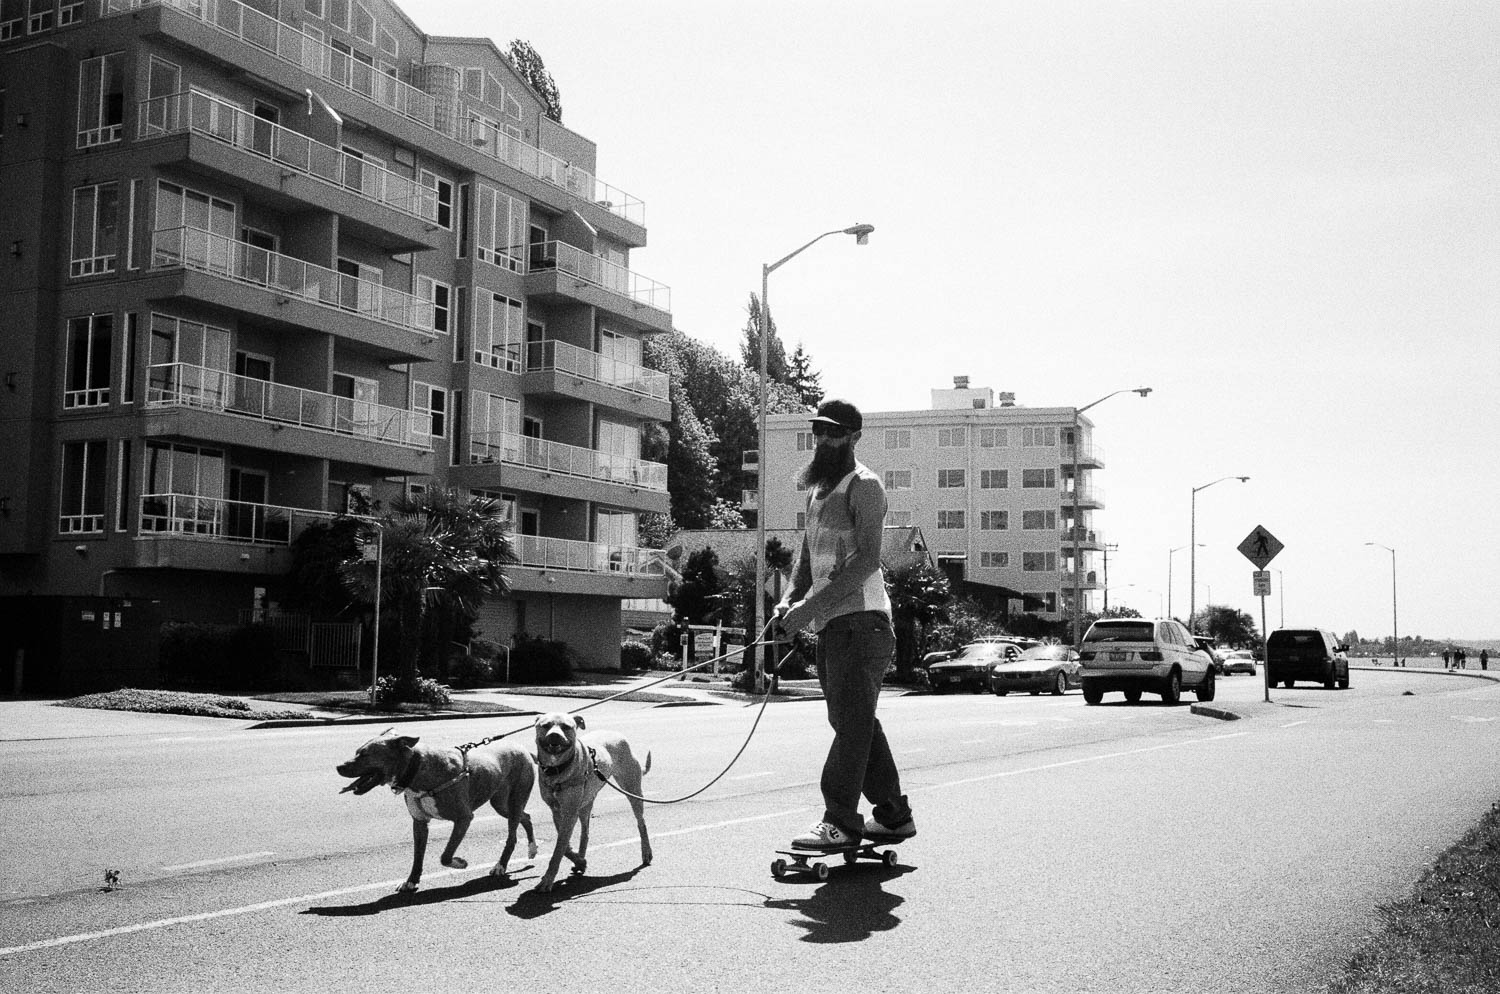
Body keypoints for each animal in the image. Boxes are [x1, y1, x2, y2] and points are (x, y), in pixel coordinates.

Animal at [337, 731, 537, 893]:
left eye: (365, 754)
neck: (416, 769)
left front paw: (459, 863)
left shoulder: (464, 818)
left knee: (512, 835)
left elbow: (445, 856)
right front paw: (411, 882)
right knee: (526, 817)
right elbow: (418, 857)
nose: (339, 767)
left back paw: (500, 866)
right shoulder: (419, 823)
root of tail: (524, 750)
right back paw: (532, 848)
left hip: (515, 800)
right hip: (501, 803)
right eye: (357, 752)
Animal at [534, 716, 651, 893]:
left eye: (566, 726)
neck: (558, 769)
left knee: (641, 822)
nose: (554, 735)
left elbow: (559, 849)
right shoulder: (557, 811)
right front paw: (579, 860)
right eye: (545, 725)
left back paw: (646, 852)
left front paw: (548, 880)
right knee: (586, 832)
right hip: (586, 804)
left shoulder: (569, 813)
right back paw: (580, 860)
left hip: (632, 790)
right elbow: (565, 846)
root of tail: (617, 733)